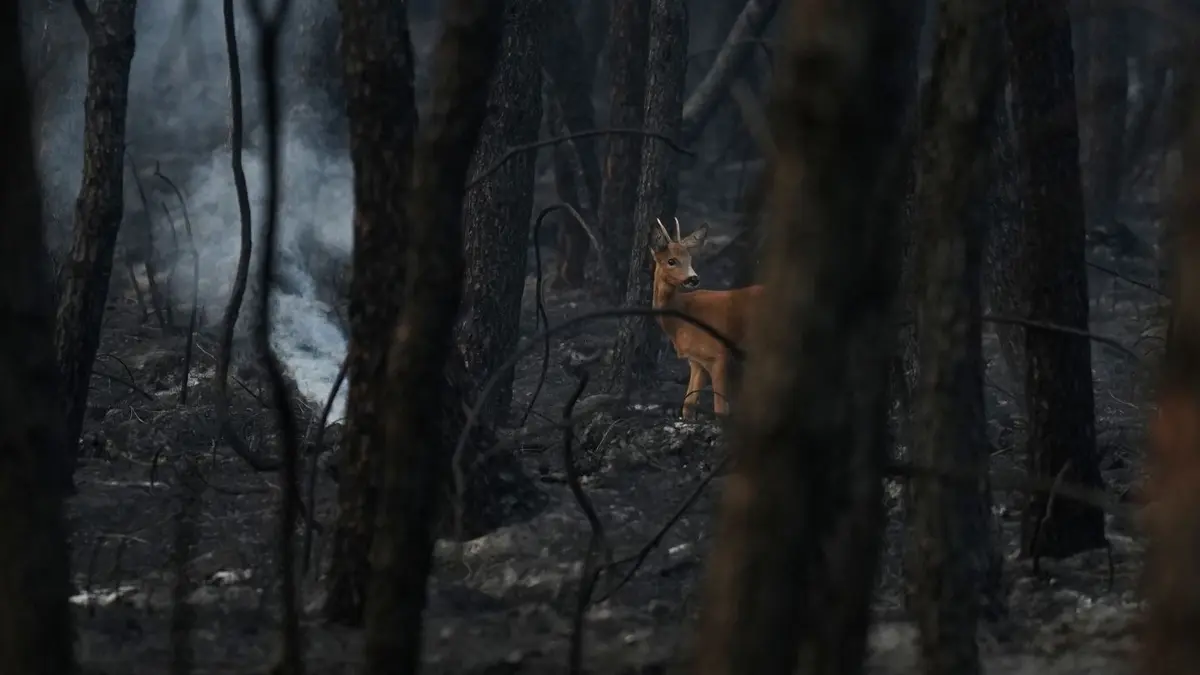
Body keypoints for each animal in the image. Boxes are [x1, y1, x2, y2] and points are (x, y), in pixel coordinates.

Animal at [649, 217, 764, 419]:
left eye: (690, 258)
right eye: (671, 261)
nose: (693, 278)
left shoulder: (719, 353)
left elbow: (721, 409)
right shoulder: (696, 361)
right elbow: (687, 405)